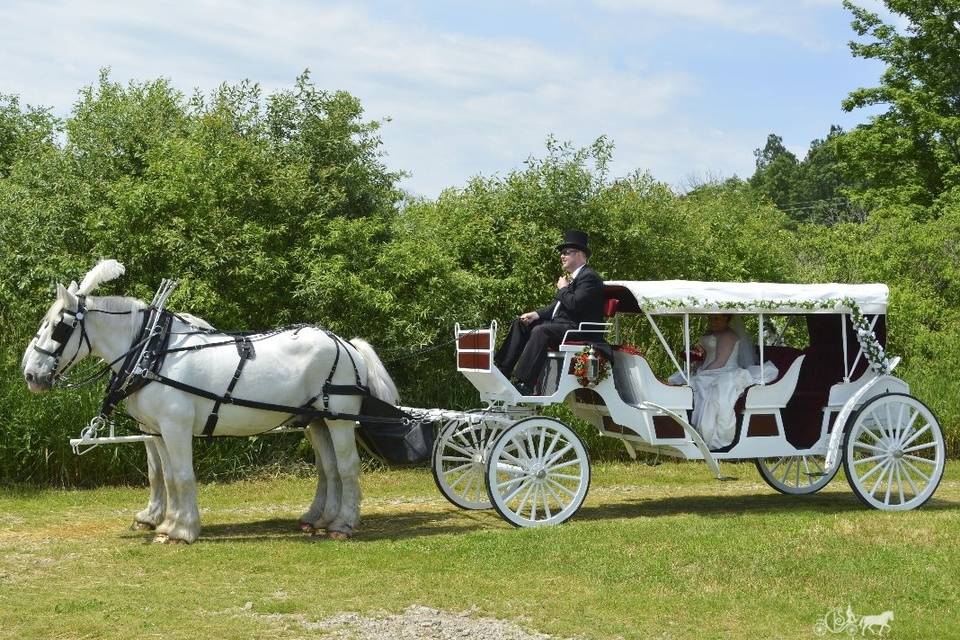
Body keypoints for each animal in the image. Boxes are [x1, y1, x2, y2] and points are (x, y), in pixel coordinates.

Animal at [21, 258, 398, 544]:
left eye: (58, 327)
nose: (30, 374)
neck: (152, 352)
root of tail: (346, 344)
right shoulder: (157, 430)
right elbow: (165, 476)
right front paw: (166, 523)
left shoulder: (175, 426)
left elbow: (182, 476)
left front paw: (182, 531)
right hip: (315, 420)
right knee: (329, 469)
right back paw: (319, 519)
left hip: (339, 419)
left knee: (347, 467)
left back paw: (342, 524)